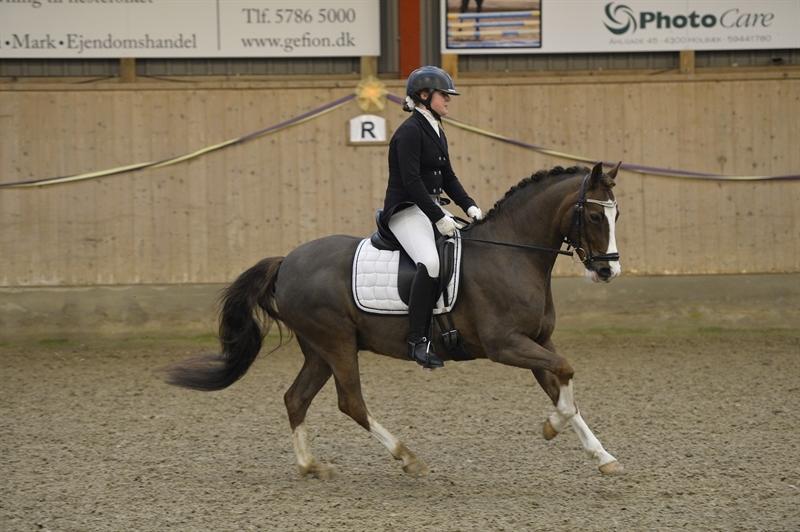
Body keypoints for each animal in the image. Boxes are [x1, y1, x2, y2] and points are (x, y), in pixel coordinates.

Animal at [167, 162, 624, 478]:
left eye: (616, 215)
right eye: (595, 216)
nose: (608, 271)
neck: (511, 254)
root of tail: (287, 261)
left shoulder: (538, 342)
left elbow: (564, 387)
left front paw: (603, 456)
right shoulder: (506, 345)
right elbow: (566, 373)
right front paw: (551, 427)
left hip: (318, 350)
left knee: (296, 398)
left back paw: (311, 466)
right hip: (336, 343)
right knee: (350, 402)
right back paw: (408, 458)